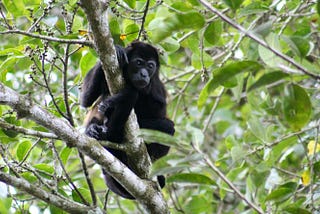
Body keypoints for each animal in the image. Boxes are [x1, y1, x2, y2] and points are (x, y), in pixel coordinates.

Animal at [80, 41, 175, 199]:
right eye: (138, 63)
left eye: (150, 66)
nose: (144, 74)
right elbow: (86, 99)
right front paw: (118, 49)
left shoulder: (157, 88)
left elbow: (157, 114)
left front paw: (119, 98)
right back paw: (94, 130)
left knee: (169, 127)